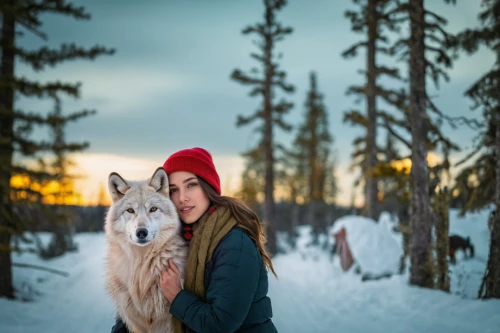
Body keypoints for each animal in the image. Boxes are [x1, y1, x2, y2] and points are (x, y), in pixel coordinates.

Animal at [104, 167, 188, 332]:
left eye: (153, 209)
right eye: (130, 210)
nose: (141, 232)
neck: (141, 267)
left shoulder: (167, 321)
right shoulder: (136, 321)